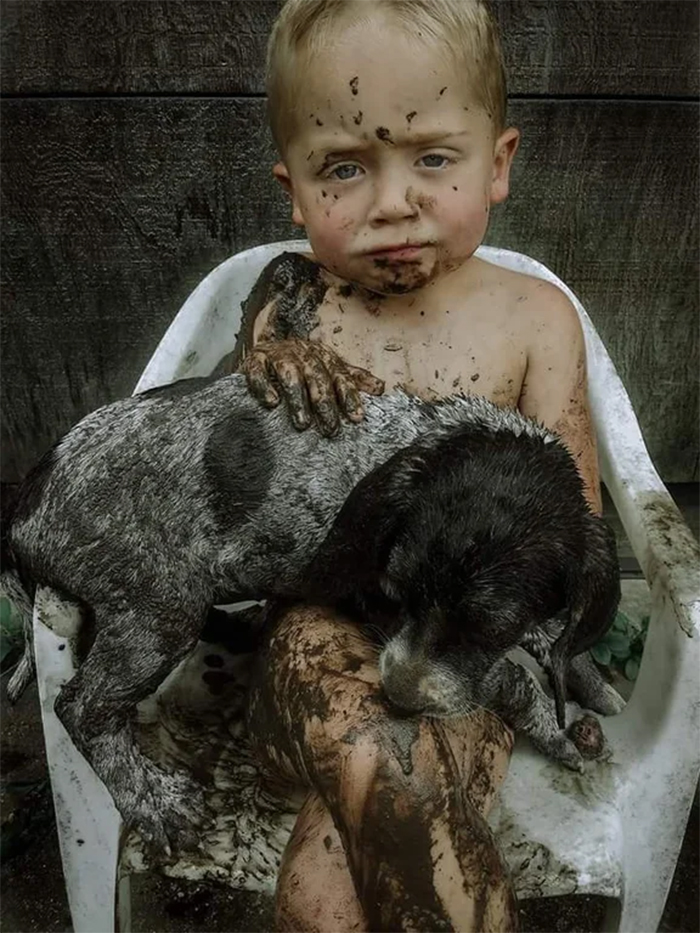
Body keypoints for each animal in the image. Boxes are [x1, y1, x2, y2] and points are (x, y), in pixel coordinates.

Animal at [6, 376, 624, 852]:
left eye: (490, 625)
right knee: (82, 706)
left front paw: (585, 679)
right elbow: (508, 678)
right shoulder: (373, 606)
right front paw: (556, 728)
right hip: (162, 604)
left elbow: (557, 638)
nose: (396, 696)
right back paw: (153, 802)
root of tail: (24, 504)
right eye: (396, 592)